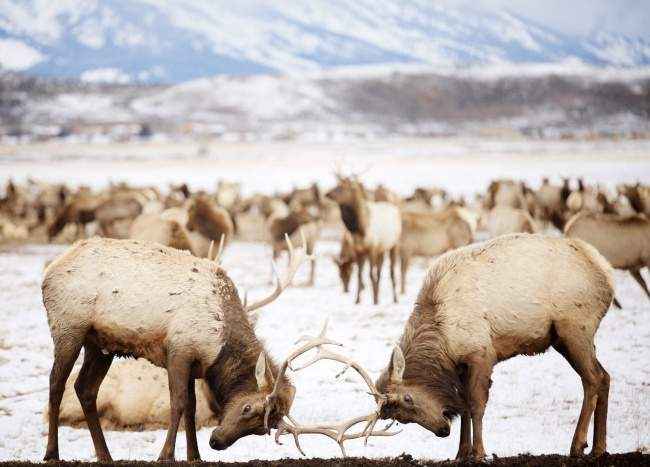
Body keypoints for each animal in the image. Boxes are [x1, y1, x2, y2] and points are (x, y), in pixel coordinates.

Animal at [316, 234, 616, 460]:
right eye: (400, 418)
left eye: (408, 399)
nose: (441, 431)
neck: (442, 339)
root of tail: (606, 272)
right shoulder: (459, 364)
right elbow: (462, 408)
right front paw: (461, 453)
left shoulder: (482, 352)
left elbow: (475, 405)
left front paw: (480, 452)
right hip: (568, 337)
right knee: (605, 376)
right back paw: (599, 448)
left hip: (574, 326)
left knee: (592, 378)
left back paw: (578, 445)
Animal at [326, 177, 398, 306]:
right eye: (339, 275)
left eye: (349, 273)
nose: (345, 290)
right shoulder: (360, 251)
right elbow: (360, 275)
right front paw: (358, 299)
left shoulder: (372, 249)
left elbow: (370, 274)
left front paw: (375, 300)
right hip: (381, 250)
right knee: (379, 271)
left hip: (393, 245)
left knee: (391, 271)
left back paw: (395, 298)